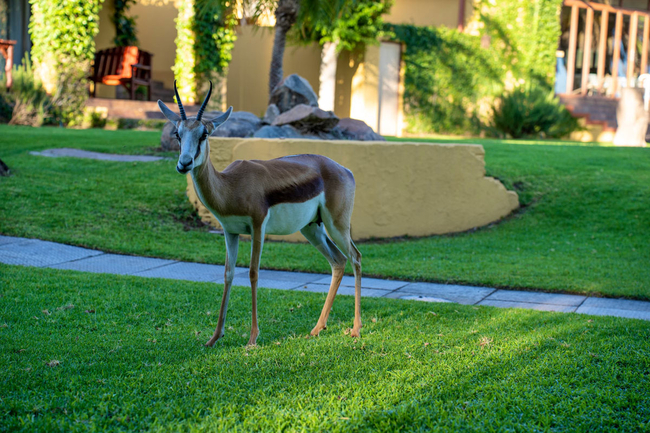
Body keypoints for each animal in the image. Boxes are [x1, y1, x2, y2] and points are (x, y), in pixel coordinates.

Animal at [156, 80, 360, 344]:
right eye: (177, 134)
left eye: (204, 134)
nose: (184, 163)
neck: (230, 186)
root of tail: (345, 170)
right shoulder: (230, 232)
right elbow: (228, 273)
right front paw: (215, 337)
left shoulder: (257, 227)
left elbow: (253, 273)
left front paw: (252, 338)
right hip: (312, 228)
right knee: (338, 261)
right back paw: (317, 328)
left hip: (337, 225)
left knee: (355, 257)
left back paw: (356, 329)